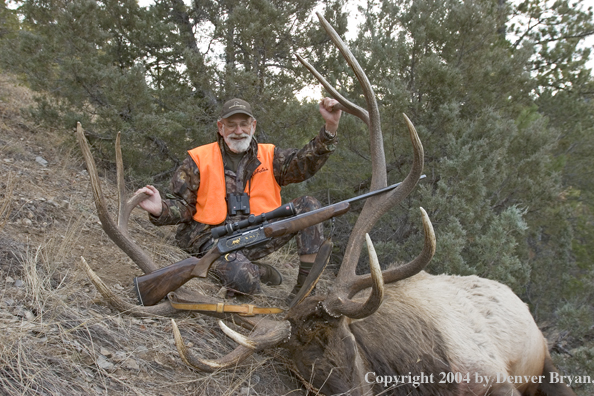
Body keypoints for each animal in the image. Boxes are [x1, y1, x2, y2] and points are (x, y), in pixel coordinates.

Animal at [76, 13, 576, 396]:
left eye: (339, 338)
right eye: (300, 364)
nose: (356, 390)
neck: (421, 369)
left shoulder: (491, 374)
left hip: (543, 363)